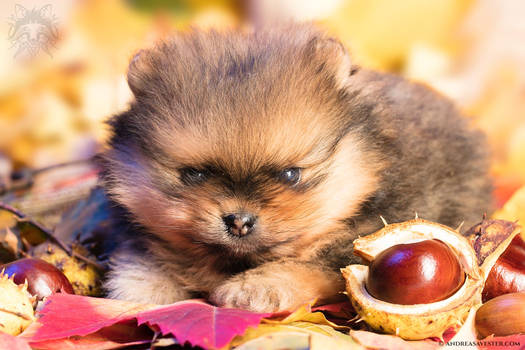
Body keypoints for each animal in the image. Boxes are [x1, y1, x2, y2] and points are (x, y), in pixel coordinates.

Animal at [99, 23, 492, 312]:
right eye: (194, 174)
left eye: (291, 174)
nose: (239, 221)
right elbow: (147, 255)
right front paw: (142, 289)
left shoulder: (356, 240)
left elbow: (308, 265)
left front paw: (257, 287)